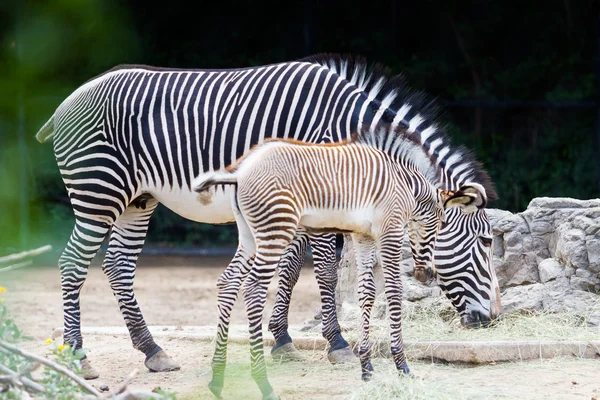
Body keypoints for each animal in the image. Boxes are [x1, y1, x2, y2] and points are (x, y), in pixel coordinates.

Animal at [192, 123, 488, 398]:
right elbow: (393, 291)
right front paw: (402, 366)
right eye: (440, 224)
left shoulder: (363, 236)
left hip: (249, 235)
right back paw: (263, 384)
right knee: (254, 289)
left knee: (228, 282)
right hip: (276, 230)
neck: (406, 184)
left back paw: (217, 379)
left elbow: (367, 293)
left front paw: (367, 368)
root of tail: (240, 172)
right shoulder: (390, 232)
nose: (425, 274)